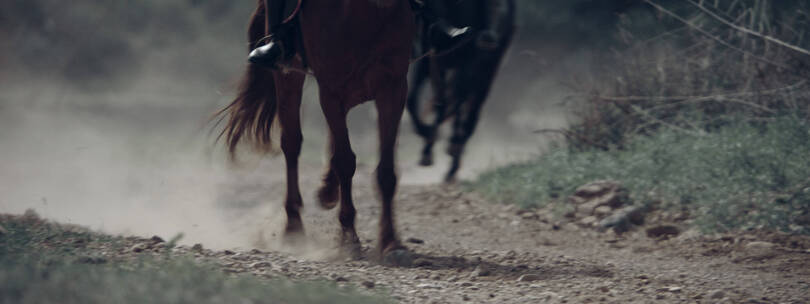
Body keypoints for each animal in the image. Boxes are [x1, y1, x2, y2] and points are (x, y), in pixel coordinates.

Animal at [215, 0, 414, 262]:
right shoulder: (331, 91)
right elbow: (345, 161)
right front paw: (349, 239)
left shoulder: (393, 88)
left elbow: (386, 171)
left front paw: (392, 243)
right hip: (287, 76)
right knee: (291, 143)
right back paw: (294, 228)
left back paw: (327, 191)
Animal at [408, 0, 516, 182]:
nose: (435, 32)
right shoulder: (432, 61)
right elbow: (414, 100)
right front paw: (426, 137)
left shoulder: (468, 65)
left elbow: (450, 105)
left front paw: (434, 147)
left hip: (484, 74)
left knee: (470, 113)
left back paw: (453, 162)